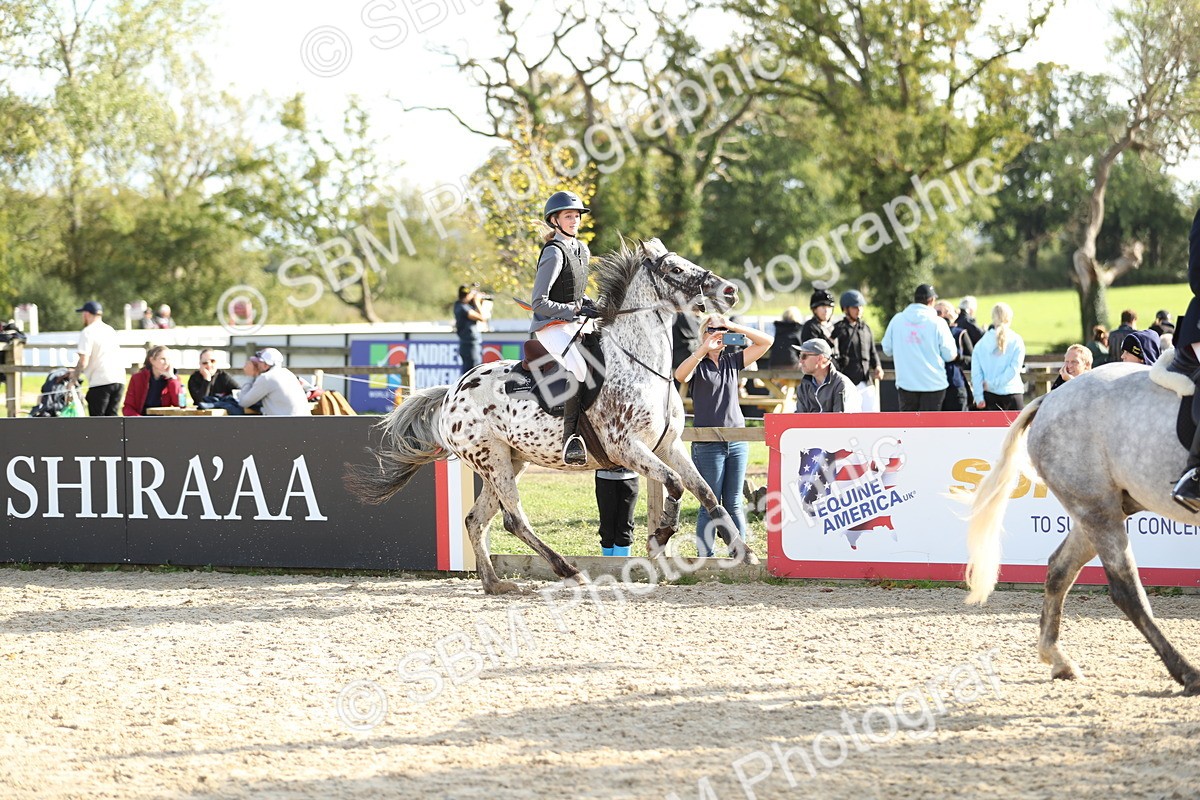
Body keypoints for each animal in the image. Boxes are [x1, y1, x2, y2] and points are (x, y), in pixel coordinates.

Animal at [345, 238, 759, 594]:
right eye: (674, 268)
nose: (729, 292)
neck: (640, 364)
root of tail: (451, 392)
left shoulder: (668, 446)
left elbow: (705, 492)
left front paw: (743, 550)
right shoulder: (627, 448)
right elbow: (674, 484)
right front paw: (659, 539)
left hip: (510, 459)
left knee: (476, 520)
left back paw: (495, 584)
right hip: (492, 459)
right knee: (513, 518)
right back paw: (569, 571)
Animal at [964, 357, 1200, 694]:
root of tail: (1051, 398)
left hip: (1100, 510)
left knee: (1059, 569)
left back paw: (1058, 659)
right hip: (1097, 510)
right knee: (1126, 590)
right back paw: (1187, 672)